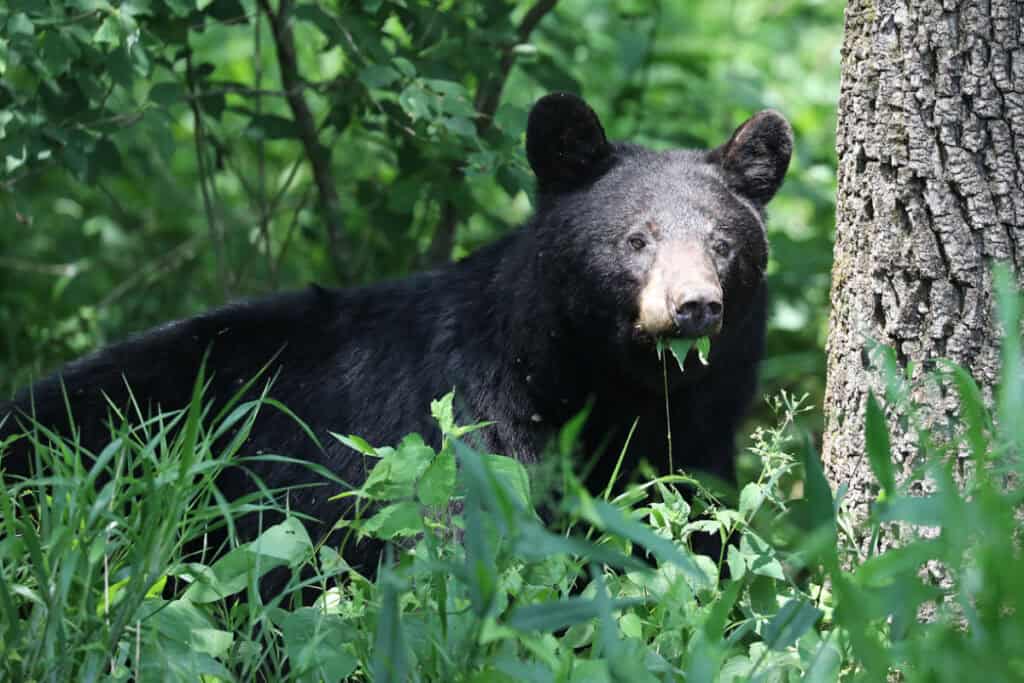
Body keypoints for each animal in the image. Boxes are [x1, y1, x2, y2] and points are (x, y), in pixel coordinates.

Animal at [0, 92, 792, 580]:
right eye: (636, 239)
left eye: (723, 243)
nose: (694, 307)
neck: (598, 385)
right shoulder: (469, 430)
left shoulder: (697, 440)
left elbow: (692, 537)